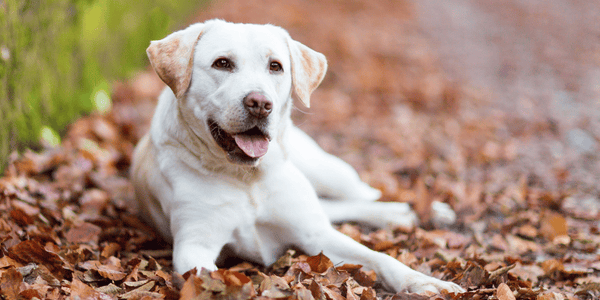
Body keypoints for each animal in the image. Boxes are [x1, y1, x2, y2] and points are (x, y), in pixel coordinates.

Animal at [130, 19, 460, 296]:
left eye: (275, 66)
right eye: (222, 63)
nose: (260, 104)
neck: (247, 178)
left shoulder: (315, 235)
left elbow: (380, 258)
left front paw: (426, 282)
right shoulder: (194, 246)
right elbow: (213, 279)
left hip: (328, 172)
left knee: (363, 194)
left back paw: (420, 210)